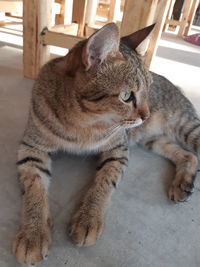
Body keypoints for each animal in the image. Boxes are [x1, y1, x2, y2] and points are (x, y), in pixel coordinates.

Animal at [13, 23, 199, 266]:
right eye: (126, 96)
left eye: (148, 89)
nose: (147, 115)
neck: (81, 124)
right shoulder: (31, 148)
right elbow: (33, 189)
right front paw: (33, 233)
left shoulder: (118, 149)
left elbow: (105, 182)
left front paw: (89, 218)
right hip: (153, 139)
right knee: (188, 155)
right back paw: (183, 183)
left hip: (185, 126)